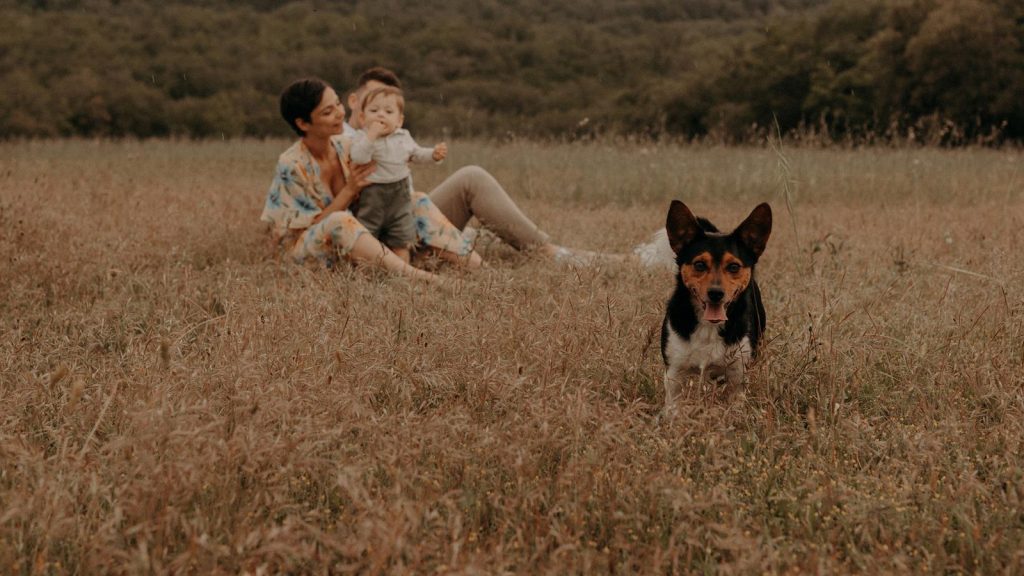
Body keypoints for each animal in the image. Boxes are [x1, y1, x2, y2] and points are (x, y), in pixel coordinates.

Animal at [659, 199, 770, 409]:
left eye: (734, 266)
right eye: (699, 265)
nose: (716, 293)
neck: (708, 327)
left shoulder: (737, 375)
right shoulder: (675, 373)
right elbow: (673, 407)